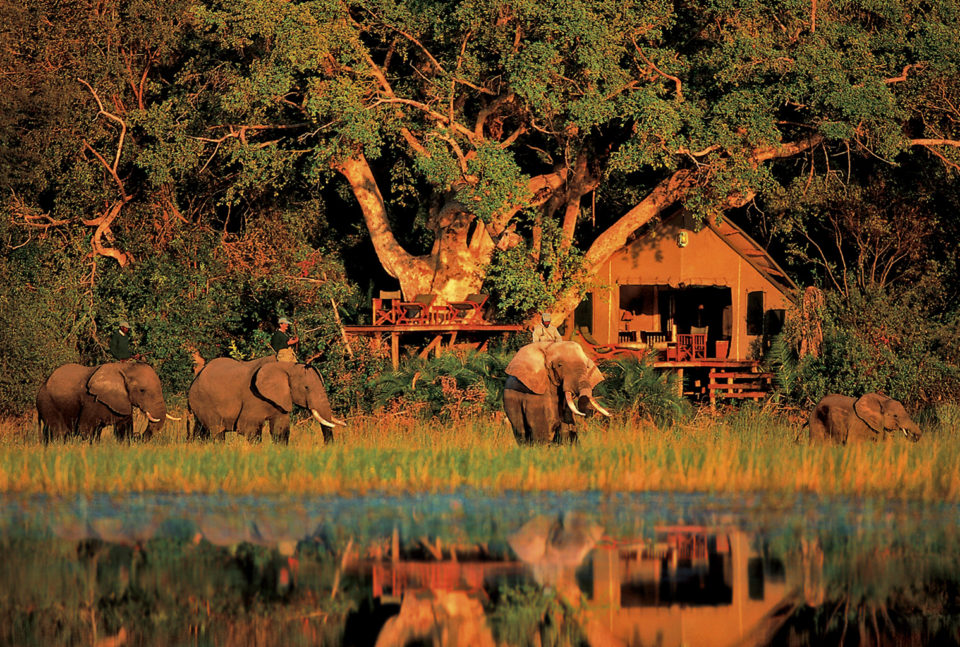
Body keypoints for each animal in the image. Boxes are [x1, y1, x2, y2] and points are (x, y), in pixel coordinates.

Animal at [36, 362, 172, 442]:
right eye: (142, 390)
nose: (137, 435)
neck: (124, 368)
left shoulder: (122, 401)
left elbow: (124, 430)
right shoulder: (92, 400)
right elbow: (86, 429)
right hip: (48, 403)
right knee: (60, 432)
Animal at [186, 354, 344, 446]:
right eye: (306, 387)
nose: (328, 447)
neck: (286, 366)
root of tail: (195, 378)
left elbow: (280, 430)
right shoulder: (253, 397)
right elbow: (249, 428)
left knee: (201, 430)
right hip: (203, 400)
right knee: (217, 431)